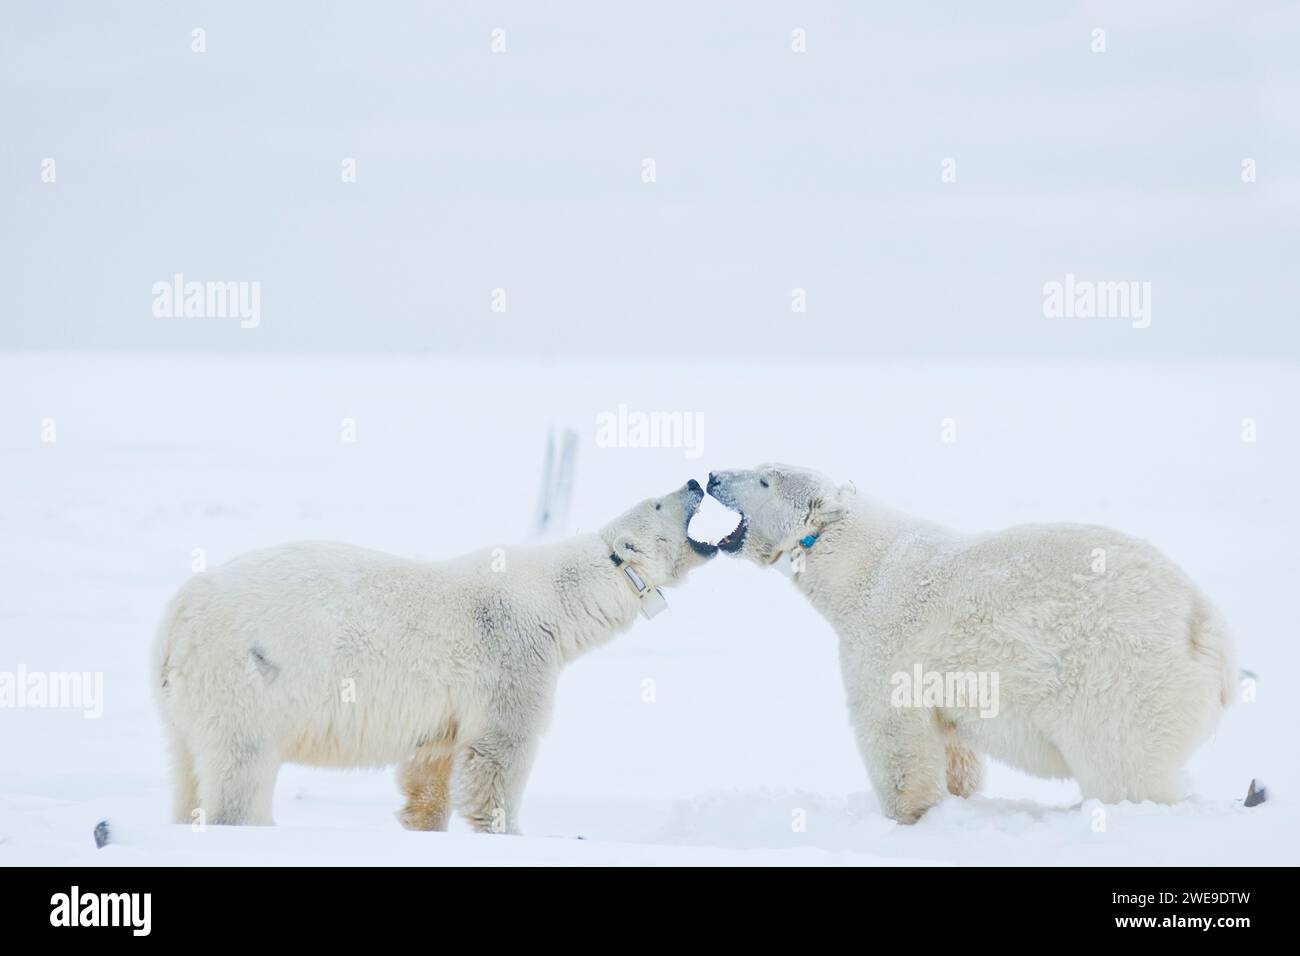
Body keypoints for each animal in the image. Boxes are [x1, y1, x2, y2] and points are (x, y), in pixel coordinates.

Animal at [158, 481, 722, 832]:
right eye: (658, 503)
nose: (696, 480)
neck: (556, 600)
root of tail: (179, 612)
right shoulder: (513, 657)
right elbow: (498, 753)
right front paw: (507, 832)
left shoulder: (449, 707)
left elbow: (432, 764)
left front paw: (422, 821)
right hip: (248, 675)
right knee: (242, 764)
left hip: (186, 699)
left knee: (187, 770)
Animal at [707, 463, 1232, 822]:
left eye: (764, 480)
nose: (711, 477)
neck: (862, 570)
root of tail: (1204, 622)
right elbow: (955, 748)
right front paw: (957, 799)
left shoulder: (886, 643)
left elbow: (894, 737)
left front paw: (909, 817)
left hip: (1120, 675)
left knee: (1122, 765)